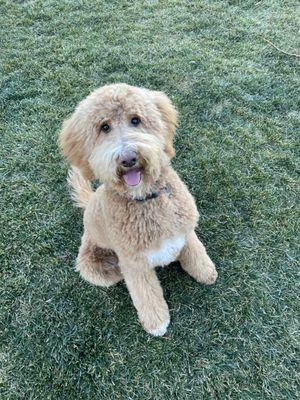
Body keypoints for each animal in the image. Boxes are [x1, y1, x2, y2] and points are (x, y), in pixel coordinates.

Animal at [59, 83, 218, 336]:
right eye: (104, 127)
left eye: (135, 120)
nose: (128, 158)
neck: (146, 200)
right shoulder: (134, 265)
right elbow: (147, 294)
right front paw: (157, 322)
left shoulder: (185, 230)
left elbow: (196, 252)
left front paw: (206, 272)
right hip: (93, 265)